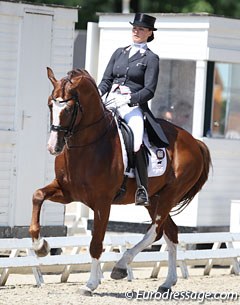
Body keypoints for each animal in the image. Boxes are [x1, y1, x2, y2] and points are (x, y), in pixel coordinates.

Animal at [29, 67, 211, 294]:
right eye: (50, 104)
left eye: (69, 109)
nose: (53, 147)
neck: (87, 145)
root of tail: (194, 141)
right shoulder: (66, 192)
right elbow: (37, 195)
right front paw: (40, 246)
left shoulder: (102, 202)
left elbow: (96, 242)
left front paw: (90, 284)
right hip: (154, 198)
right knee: (170, 232)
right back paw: (167, 282)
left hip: (169, 195)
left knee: (155, 231)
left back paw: (121, 266)